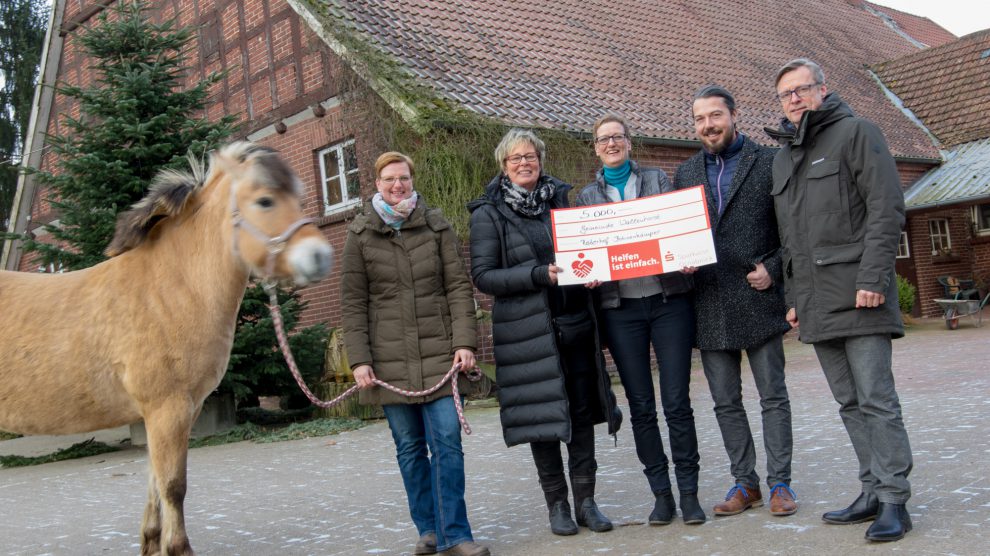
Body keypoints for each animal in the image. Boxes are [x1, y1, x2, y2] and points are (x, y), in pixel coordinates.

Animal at [0, 141, 338, 552]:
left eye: (299, 196)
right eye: (264, 200)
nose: (319, 257)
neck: (171, 290)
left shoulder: (175, 412)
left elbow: (155, 482)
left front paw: (152, 543)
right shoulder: (168, 409)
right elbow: (174, 485)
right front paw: (178, 547)